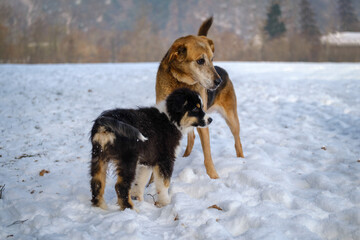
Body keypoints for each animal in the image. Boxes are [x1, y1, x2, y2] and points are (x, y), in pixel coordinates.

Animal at [155, 16, 245, 178]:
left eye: (212, 58)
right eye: (200, 61)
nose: (219, 81)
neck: (182, 82)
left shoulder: (204, 123)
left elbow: (207, 155)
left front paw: (214, 177)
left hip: (232, 118)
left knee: (237, 141)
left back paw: (241, 160)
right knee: (191, 139)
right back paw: (186, 156)